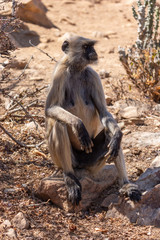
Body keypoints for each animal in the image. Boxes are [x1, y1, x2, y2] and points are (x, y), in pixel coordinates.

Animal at [44, 34, 141, 204]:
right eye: (85, 47)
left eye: (91, 46)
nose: (94, 52)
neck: (76, 69)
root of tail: (81, 166)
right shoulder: (60, 74)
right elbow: (49, 109)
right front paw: (78, 125)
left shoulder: (93, 75)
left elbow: (103, 112)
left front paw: (118, 134)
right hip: (66, 160)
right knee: (58, 123)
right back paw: (69, 177)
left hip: (93, 165)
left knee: (110, 137)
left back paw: (125, 184)